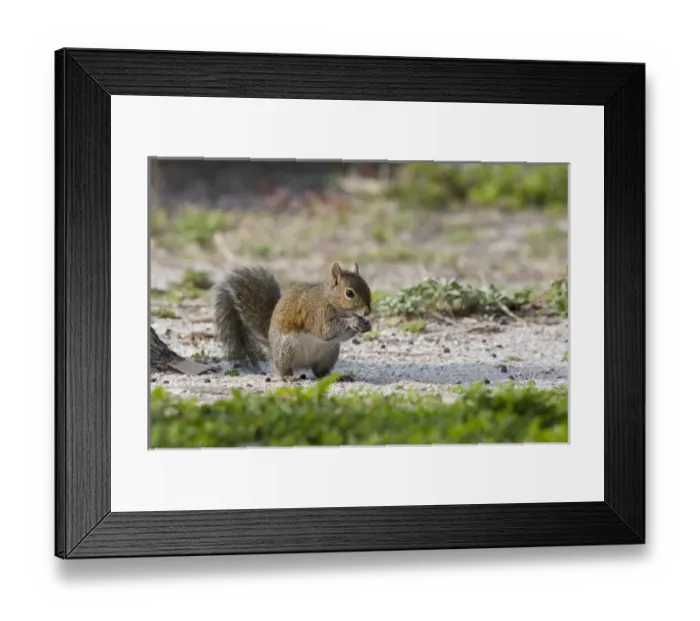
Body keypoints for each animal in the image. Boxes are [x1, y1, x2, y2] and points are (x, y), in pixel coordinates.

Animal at [214, 262, 373, 378]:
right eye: (349, 293)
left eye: (367, 287)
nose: (367, 311)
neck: (329, 299)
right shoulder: (317, 314)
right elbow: (326, 330)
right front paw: (353, 322)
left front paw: (366, 324)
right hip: (286, 350)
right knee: (282, 368)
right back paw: (287, 377)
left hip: (329, 354)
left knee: (319, 372)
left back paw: (336, 376)